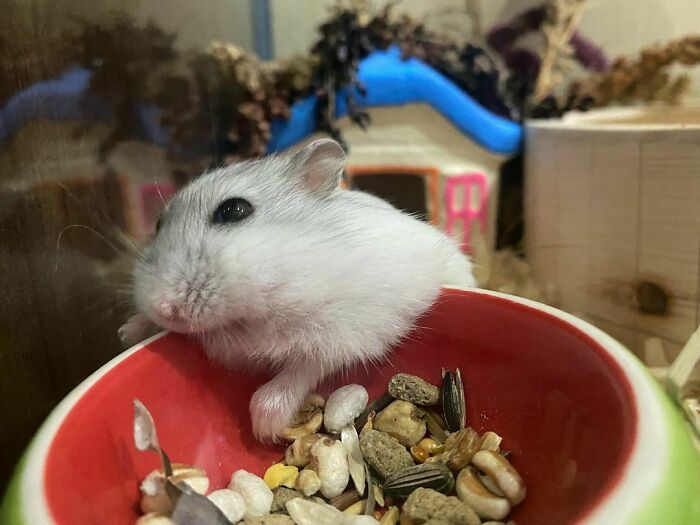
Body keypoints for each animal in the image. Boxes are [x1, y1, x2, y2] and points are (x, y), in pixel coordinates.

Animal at [125, 139, 475, 441]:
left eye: (234, 210)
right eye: (158, 225)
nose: (163, 308)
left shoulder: (346, 332)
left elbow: (303, 369)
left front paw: (263, 427)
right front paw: (128, 331)